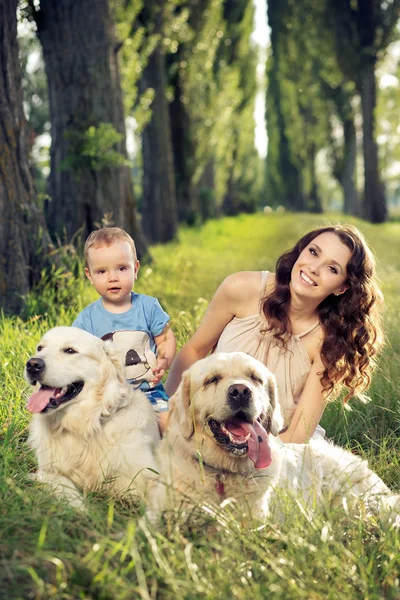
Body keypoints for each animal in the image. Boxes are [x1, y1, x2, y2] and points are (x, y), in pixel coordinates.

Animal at [24, 326, 159, 508]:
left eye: (70, 350)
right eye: (40, 348)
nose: (32, 364)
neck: (86, 424)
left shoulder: (151, 475)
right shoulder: (48, 473)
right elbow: (72, 497)